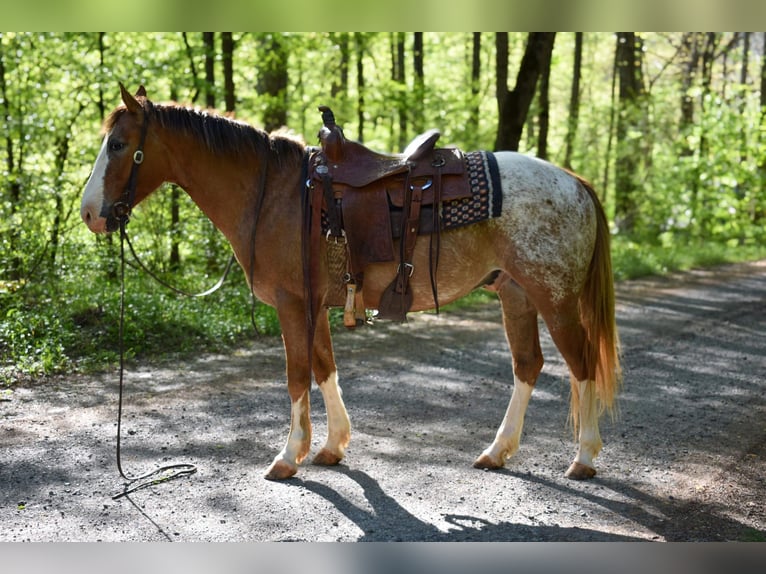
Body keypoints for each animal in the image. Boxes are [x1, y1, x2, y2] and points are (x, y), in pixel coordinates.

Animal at [81, 84, 620, 482]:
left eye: (119, 145)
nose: (89, 213)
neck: (274, 195)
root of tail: (575, 182)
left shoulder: (292, 304)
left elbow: (297, 374)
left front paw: (288, 456)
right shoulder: (315, 303)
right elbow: (324, 368)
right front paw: (332, 446)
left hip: (555, 299)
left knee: (581, 365)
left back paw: (584, 458)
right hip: (516, 294)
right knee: (528, 366)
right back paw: (497, 451)